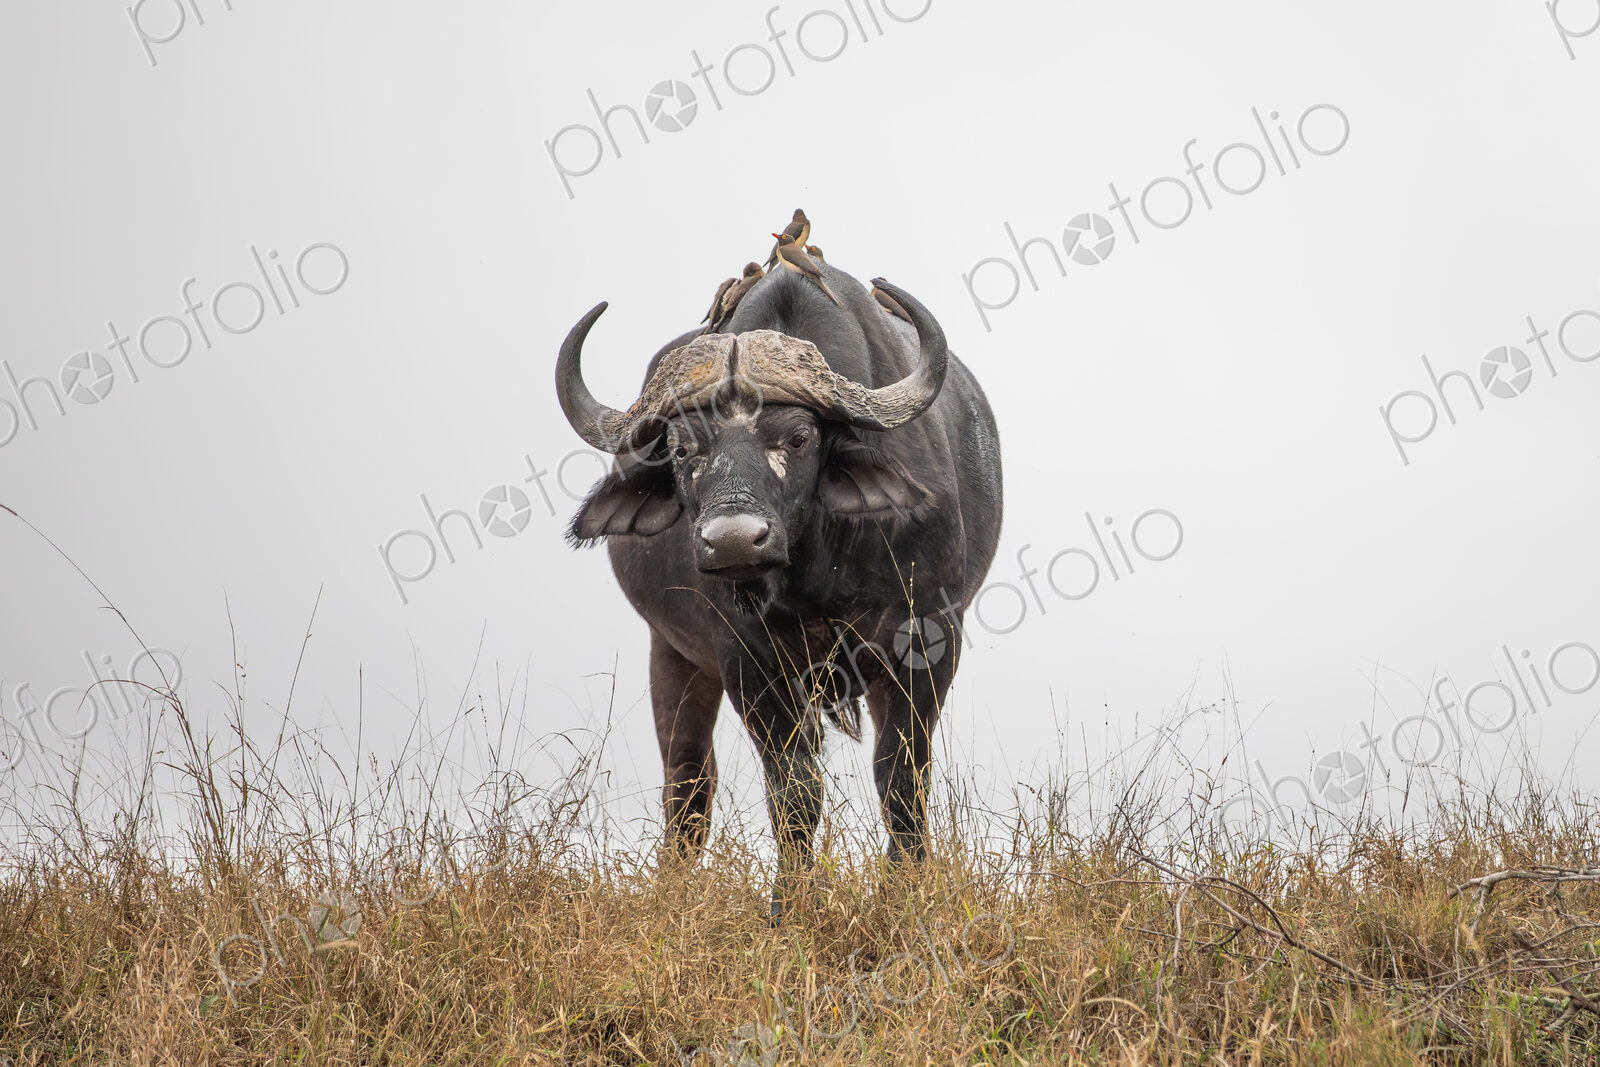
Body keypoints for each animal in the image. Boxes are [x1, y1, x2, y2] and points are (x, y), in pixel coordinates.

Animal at [556, 255, 1002, 914]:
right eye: (682, 447)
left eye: (797, 437)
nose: (735, 541)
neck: (817, 566)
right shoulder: (744, 656)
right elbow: (793, 786)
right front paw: (788, 905)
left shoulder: (927, 638)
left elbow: (901, 774)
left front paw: (904, 890)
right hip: (673, 654)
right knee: (688, 783)